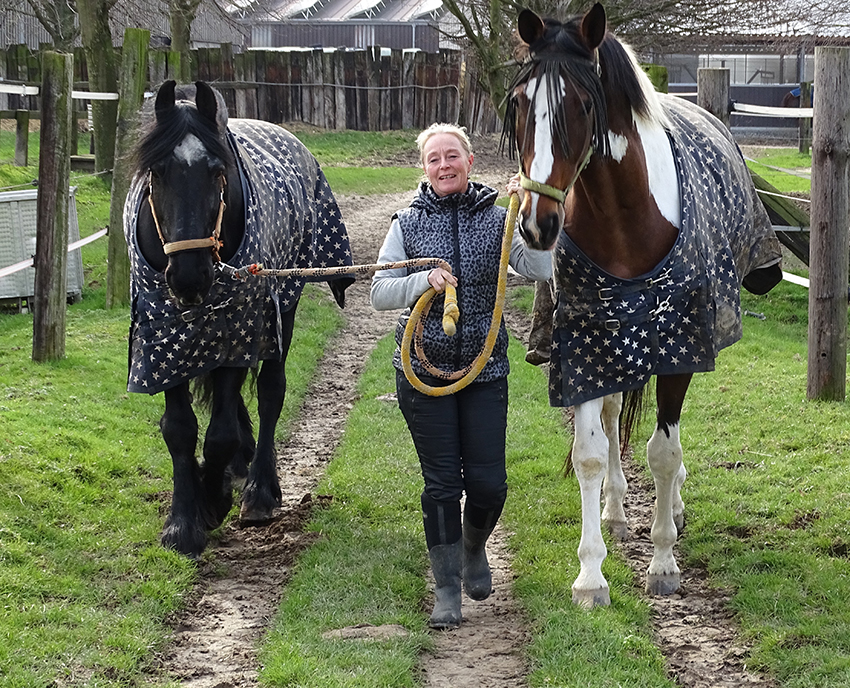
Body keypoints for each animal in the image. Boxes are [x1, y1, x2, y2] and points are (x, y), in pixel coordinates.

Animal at [125, 80, 353, 558]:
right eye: (156, 173)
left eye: (218, 171)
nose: (189, 275)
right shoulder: (162, 337)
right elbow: (179, 428)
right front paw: (183, 522)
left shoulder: (238, 328)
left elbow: (220, 433)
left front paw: (213, 500)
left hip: (282, 305)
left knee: (270, 392)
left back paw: (259, 490)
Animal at [503, 4, 783, 607]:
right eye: (519, 103)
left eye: (584, 105)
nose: (538, 225)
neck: (627, 217)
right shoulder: (585, 347)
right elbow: (589, 450)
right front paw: (591, 575)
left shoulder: (681, 348)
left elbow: (663, 452)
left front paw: (663, 561)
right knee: (613, 420)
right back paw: (615, 508)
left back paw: (672, 506)